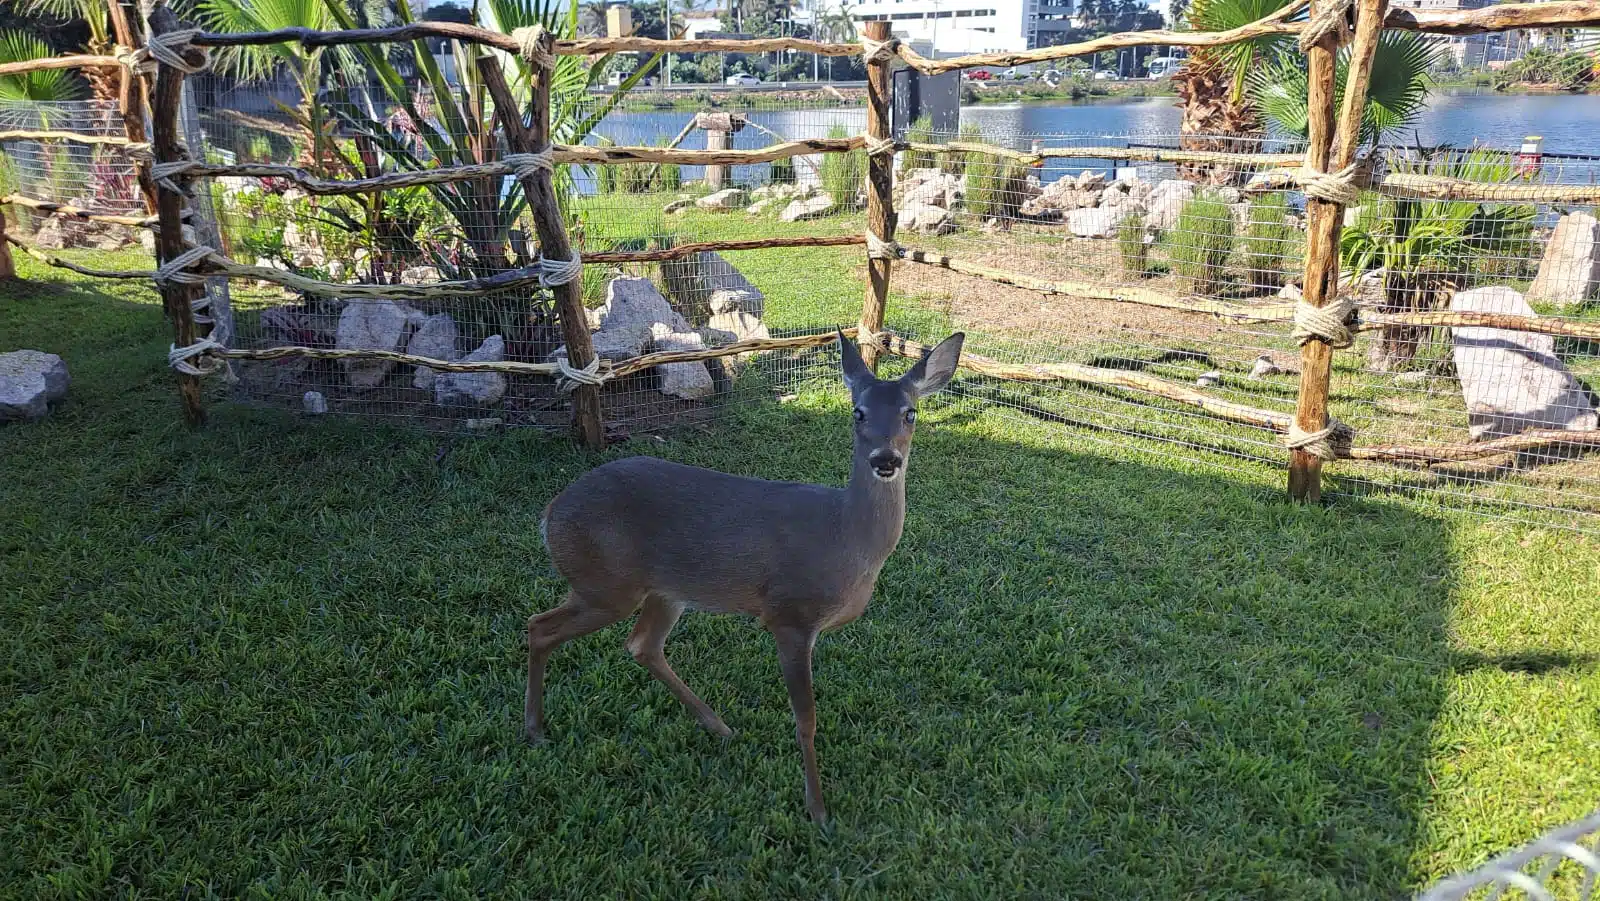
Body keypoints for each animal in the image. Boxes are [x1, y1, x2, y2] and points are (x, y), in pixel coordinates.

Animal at [531, 329, 966, 825]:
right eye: (857, 412)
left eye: (911, 412)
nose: (886, 459)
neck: (846, 538)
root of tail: (551, 512)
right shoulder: (790, 616)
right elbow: (806, 718)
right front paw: (818, 811)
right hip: (605, 583)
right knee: (539, 627)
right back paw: (536, 730)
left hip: (664, 590)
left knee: (641, 644)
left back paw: (719, 726)